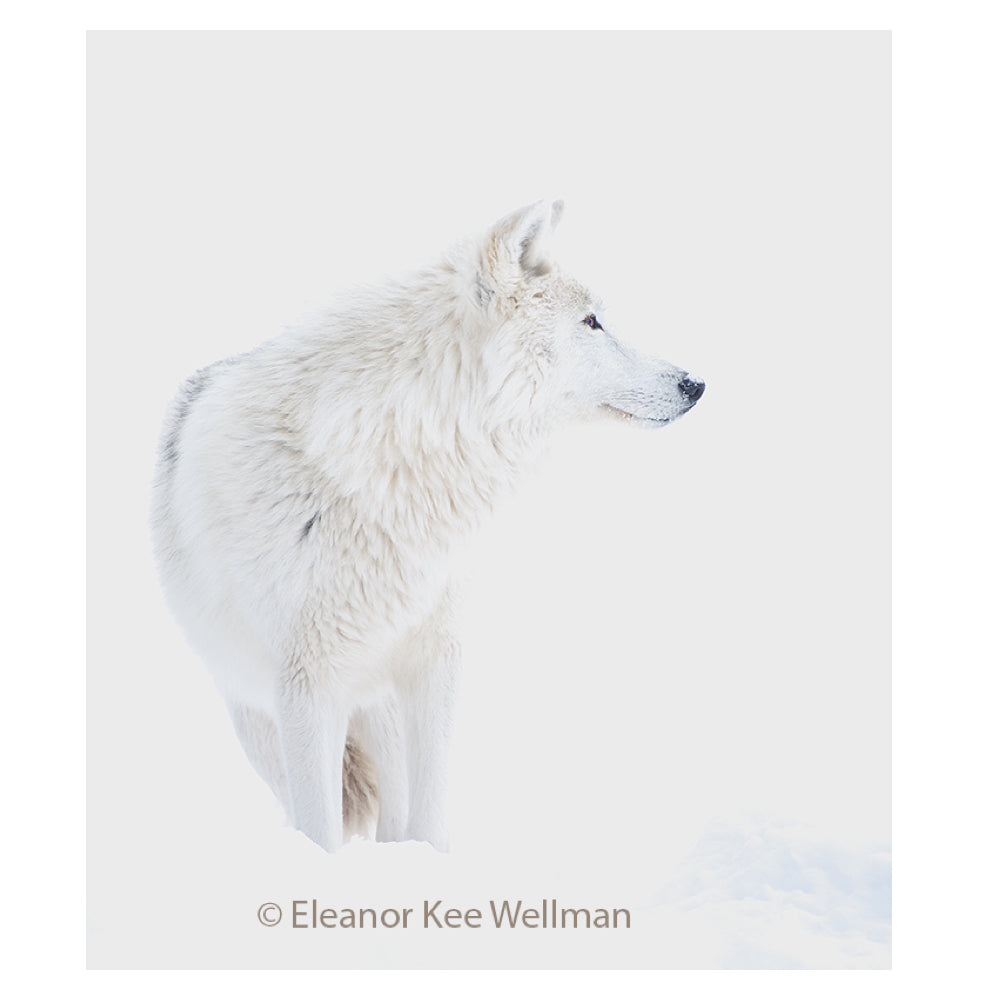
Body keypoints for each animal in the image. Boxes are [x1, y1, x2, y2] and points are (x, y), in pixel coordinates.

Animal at [151, 201, 705, 853]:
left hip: (378, 709)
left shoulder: (438, 658)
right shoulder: (308, 685)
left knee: (393, 804)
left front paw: (430, 858)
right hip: (258, 716)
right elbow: (321, 827)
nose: (695, 384)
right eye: (591, 322)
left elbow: (431, 806)